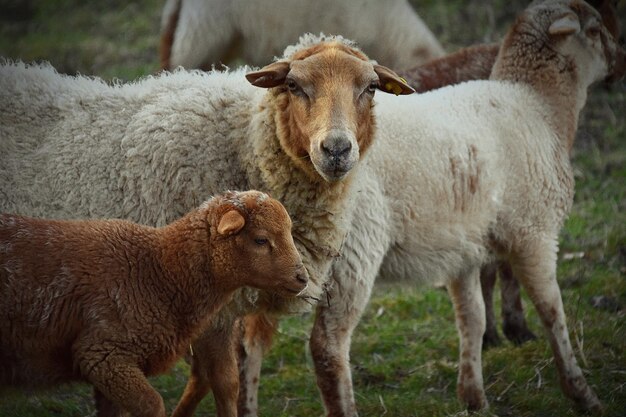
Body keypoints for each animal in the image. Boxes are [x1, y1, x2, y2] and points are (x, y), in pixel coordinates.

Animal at [0, 189, 308, 416]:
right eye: (260, 240)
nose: (302, 278)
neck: (158, 269)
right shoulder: (103, 355)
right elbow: (152, 404)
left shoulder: (108, 368)